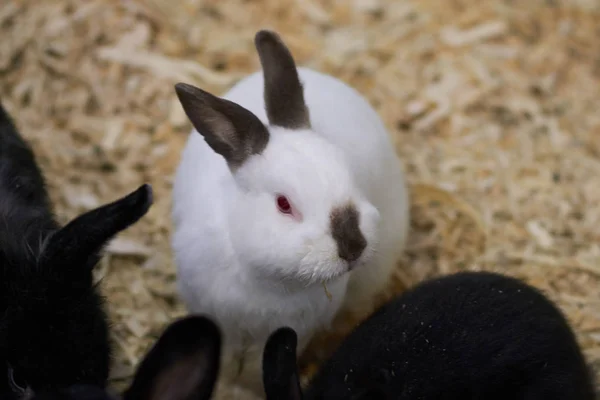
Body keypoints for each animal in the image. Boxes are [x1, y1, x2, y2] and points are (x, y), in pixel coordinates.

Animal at [171, 30, 410, 394]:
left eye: (351, 173)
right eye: (284, 204)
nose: (353, 246)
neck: (269, 281)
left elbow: (256, 371)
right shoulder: (221, 321)